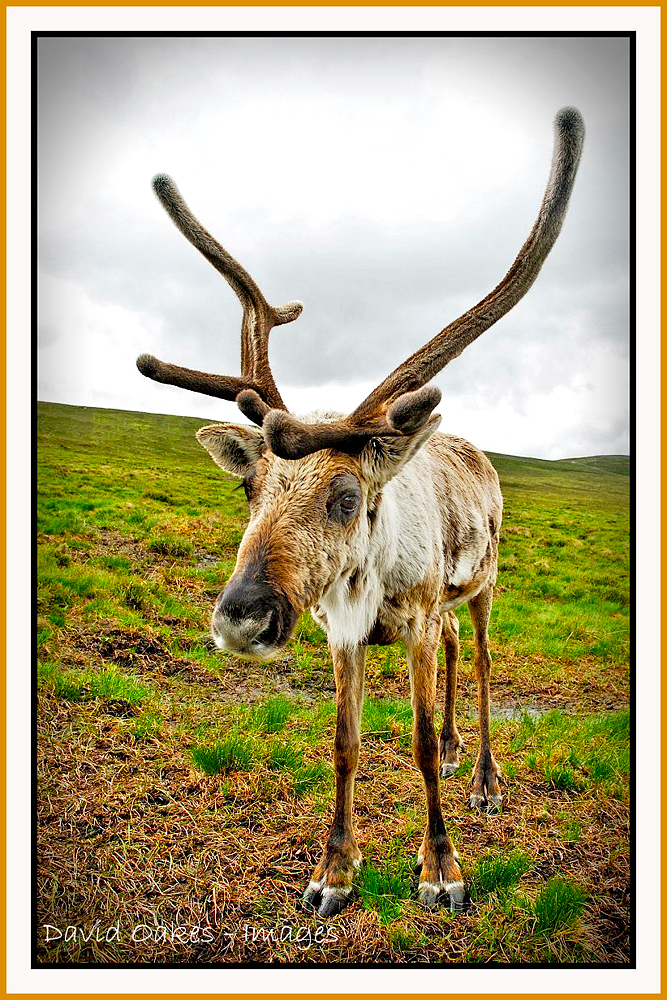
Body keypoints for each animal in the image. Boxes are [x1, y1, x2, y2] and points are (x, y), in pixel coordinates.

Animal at [136, 107, 584, 917]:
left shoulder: (414, 620)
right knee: (453, 655)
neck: (366, 583)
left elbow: (414, 739)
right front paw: (333, 872)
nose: (239, 618)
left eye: (346, 498)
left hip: (484, 585)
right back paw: (457, 751)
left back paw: (482, 776)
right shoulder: (343, 634)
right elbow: (344, 745)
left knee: (477, 658)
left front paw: (441, 869)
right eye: (248, 490)